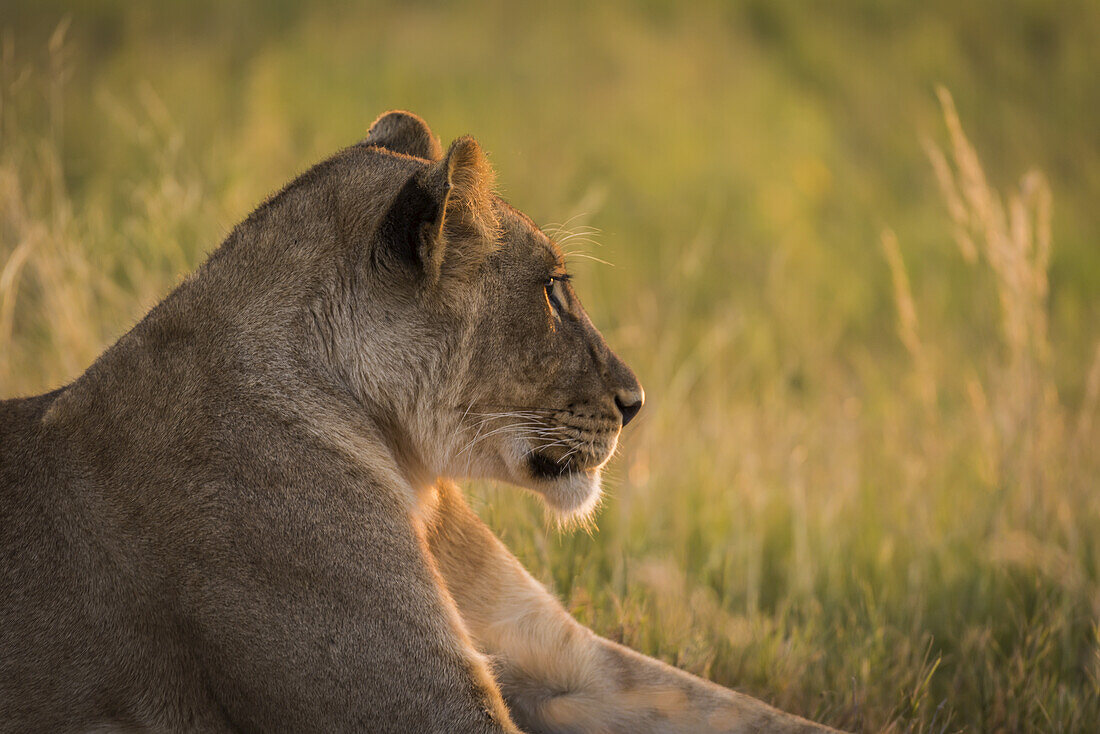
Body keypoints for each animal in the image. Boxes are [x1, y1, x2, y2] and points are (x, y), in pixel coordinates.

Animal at [0, 110, 831, 734]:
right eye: (553, 290)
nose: (637, 401)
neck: (414, 477)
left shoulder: (573, 662)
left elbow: (757, 714)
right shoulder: (424, 709)